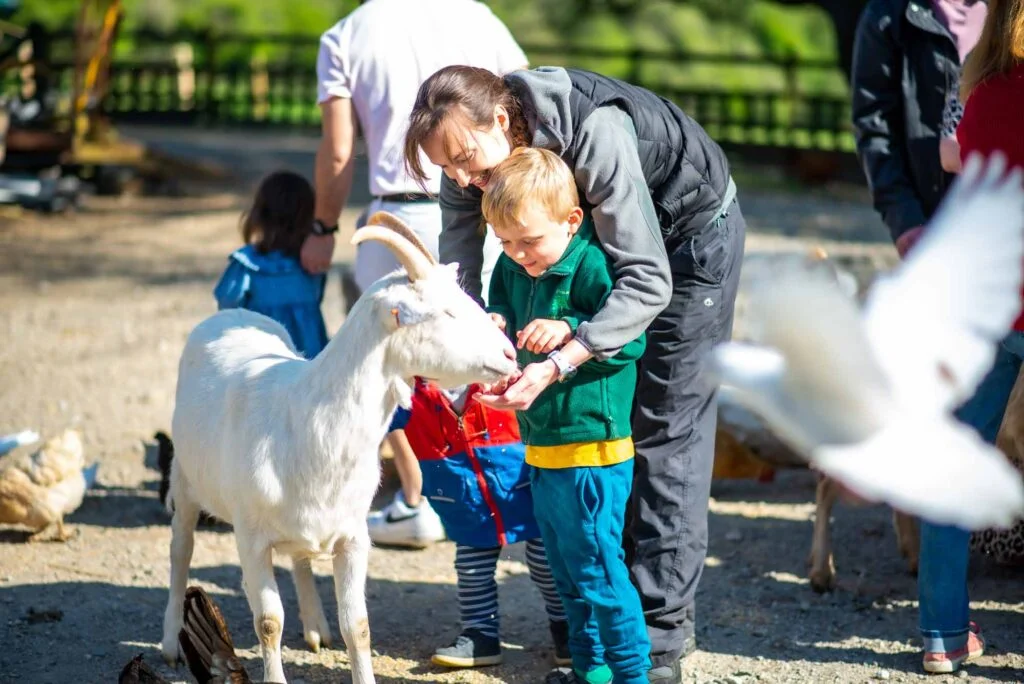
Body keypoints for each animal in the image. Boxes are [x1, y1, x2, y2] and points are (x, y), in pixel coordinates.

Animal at [160, 210, 520, 679]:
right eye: (445, 313)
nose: (510, 354)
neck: (308, 423)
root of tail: (232, 314)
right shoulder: (250, 539)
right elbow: (269, 623)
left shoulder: (353, 536)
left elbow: (358, 626)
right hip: (185, 484)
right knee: (180, 552)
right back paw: (170, 642)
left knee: (299, 559)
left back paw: (316, 627)